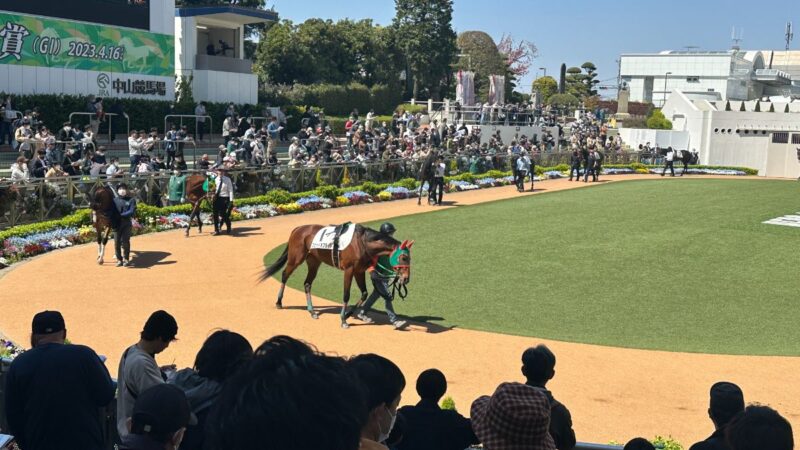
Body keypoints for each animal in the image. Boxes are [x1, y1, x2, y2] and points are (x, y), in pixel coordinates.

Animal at [260, 224, 416, 326]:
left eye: (409, 258)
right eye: (403, 258)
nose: (406, 279)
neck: (362, 242)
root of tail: (297, 229)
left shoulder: (359, 271)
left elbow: (364, 293)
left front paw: (347, 314)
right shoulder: (349, 270)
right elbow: (346, 295)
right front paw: (343, 319)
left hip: (314, 262)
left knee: (307, 283)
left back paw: (312, 311)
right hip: (295, 259)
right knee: (285, 275)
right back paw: (279, 302)